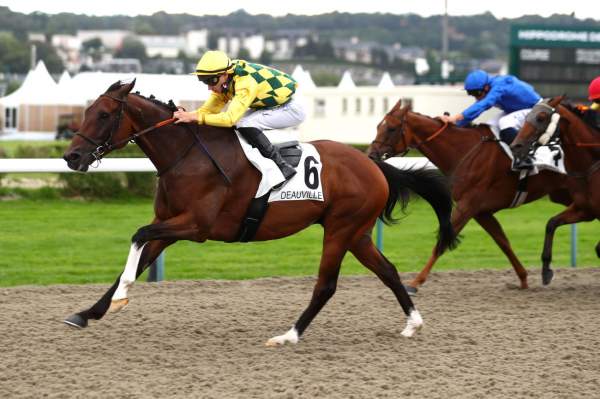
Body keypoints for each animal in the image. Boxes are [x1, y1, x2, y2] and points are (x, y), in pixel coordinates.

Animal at [62, 79, 460, 346]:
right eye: (85, 111)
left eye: (103, 114)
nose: (72, 156)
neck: (186, 156)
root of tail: (373, 164)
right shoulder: (168, 224)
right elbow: (138, 257)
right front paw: (88, 312)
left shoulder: (195, 226)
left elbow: (138, 235)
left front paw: (120, 297)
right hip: (357, 232)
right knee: (388, 271)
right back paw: (412, 323)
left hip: (340, 230)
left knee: (326, 286)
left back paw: (288, 335)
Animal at [366, 100, 572, 294]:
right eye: (377, 126)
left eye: (391, 128)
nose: (371, 155)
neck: (464, 150)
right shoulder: (481, 212)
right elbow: (503, 241)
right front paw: (523, 279)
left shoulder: (467, 206)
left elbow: (442, 242)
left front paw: (414, 283)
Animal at [510, 97, 600, 284]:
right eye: (527, 115)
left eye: (541, 117)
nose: (515, 146)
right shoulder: (585, 209)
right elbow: (551, 223)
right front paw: (546, 270)